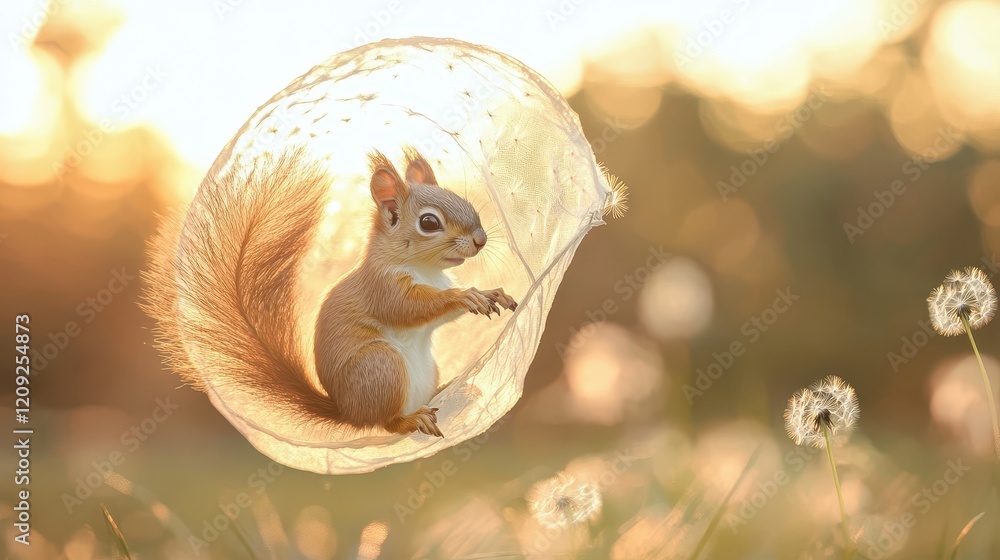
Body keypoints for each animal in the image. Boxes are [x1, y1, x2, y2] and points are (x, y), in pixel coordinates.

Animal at [143, 146, 517, 439]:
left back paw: (449, 391)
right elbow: (408, 309)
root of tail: (347, 413)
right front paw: (466, 296)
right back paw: (412, 419)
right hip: (380, 365)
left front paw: (492, 293)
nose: (481, 239)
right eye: (429, 223)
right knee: (387, 423)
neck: (425, 269)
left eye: (463, 200)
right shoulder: (381, 288)